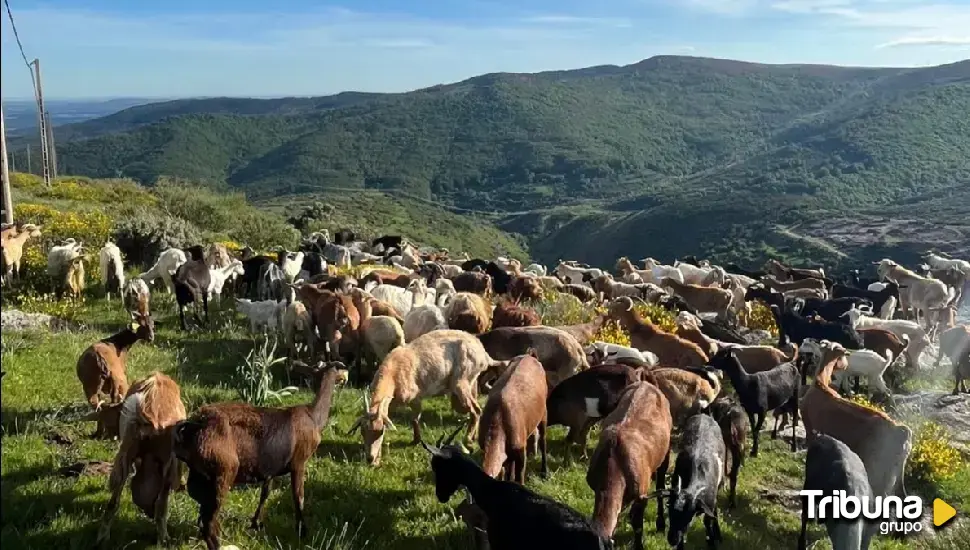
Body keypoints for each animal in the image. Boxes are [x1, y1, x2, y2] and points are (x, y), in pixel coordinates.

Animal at [174, 362, 348, 550]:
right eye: (338, 369)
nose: (345, 378)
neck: (314, 417)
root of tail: (193, 426)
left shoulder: (270, 469)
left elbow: (265, 493)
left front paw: (256, 523)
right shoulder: (299, 461)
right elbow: (298, 496)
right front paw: (302, 531)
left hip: (199, 475)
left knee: (202, 512)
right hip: (224, 470)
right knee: (209, 520)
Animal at [480, 352, 548, 486]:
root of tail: (530, 355)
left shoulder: (521, 450)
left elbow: (519, 477)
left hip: (543, 413)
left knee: (543, 439)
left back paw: (544, 472)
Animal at [588, 380, 668, 550]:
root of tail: (646, 383)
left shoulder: (641, 494)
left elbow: (637, 523)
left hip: (666, 453)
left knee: (660, 484)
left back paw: (661, 524)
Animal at [664, 414, 728, 550]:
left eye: (688, 517)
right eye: (670, 512)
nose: (672, 540)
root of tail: (704, 415)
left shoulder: (709, 501)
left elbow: (708, 521)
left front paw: (712, 543)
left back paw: (718, 535)